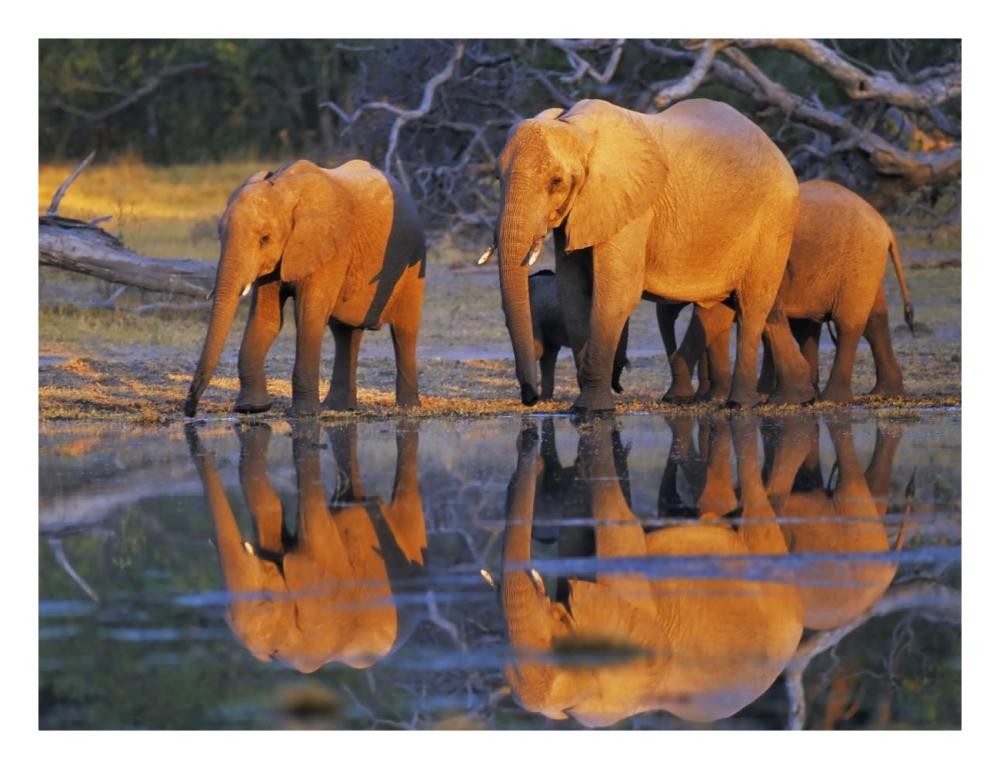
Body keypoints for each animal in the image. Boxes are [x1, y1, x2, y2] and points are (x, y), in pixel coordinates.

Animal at [184, 158, 426, 418]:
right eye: (220, 235)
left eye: (265, 239)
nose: (190, 410)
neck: (283, 187)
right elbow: (266, 319)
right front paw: (252, 409)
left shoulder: (328, 249)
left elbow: (307, 316)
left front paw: (304, 414)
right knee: (345, 332)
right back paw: (338, 407)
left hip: (413, 260)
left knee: (404, 330)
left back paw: (408, 407)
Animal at [664, 179, 916, 404]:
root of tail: (886, 228)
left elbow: (716, 316)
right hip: (866, 267)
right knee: (872, 320)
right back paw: (882, 393)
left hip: (861, 261)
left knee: (847, 324)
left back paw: (832, 399)